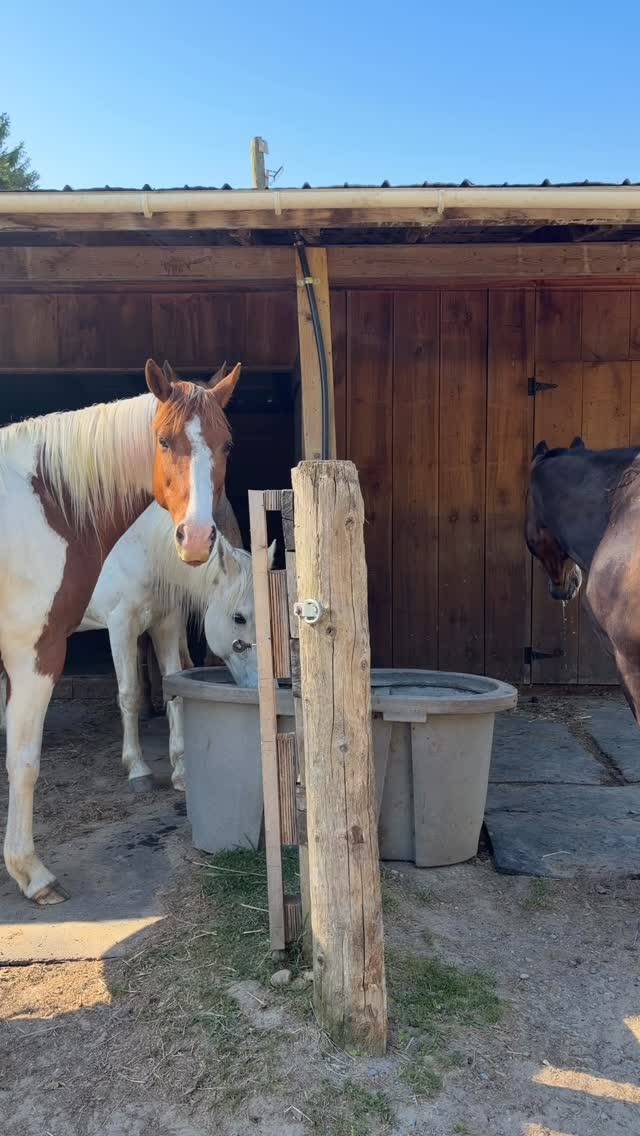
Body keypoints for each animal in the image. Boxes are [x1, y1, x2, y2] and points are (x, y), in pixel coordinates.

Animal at [0, 358, 241, 903]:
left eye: (227, 444)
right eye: (163, 441)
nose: (198, 537)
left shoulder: (163, 621)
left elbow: (171, 689)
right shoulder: (58, 644)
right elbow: (28, 759)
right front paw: (31, 873)